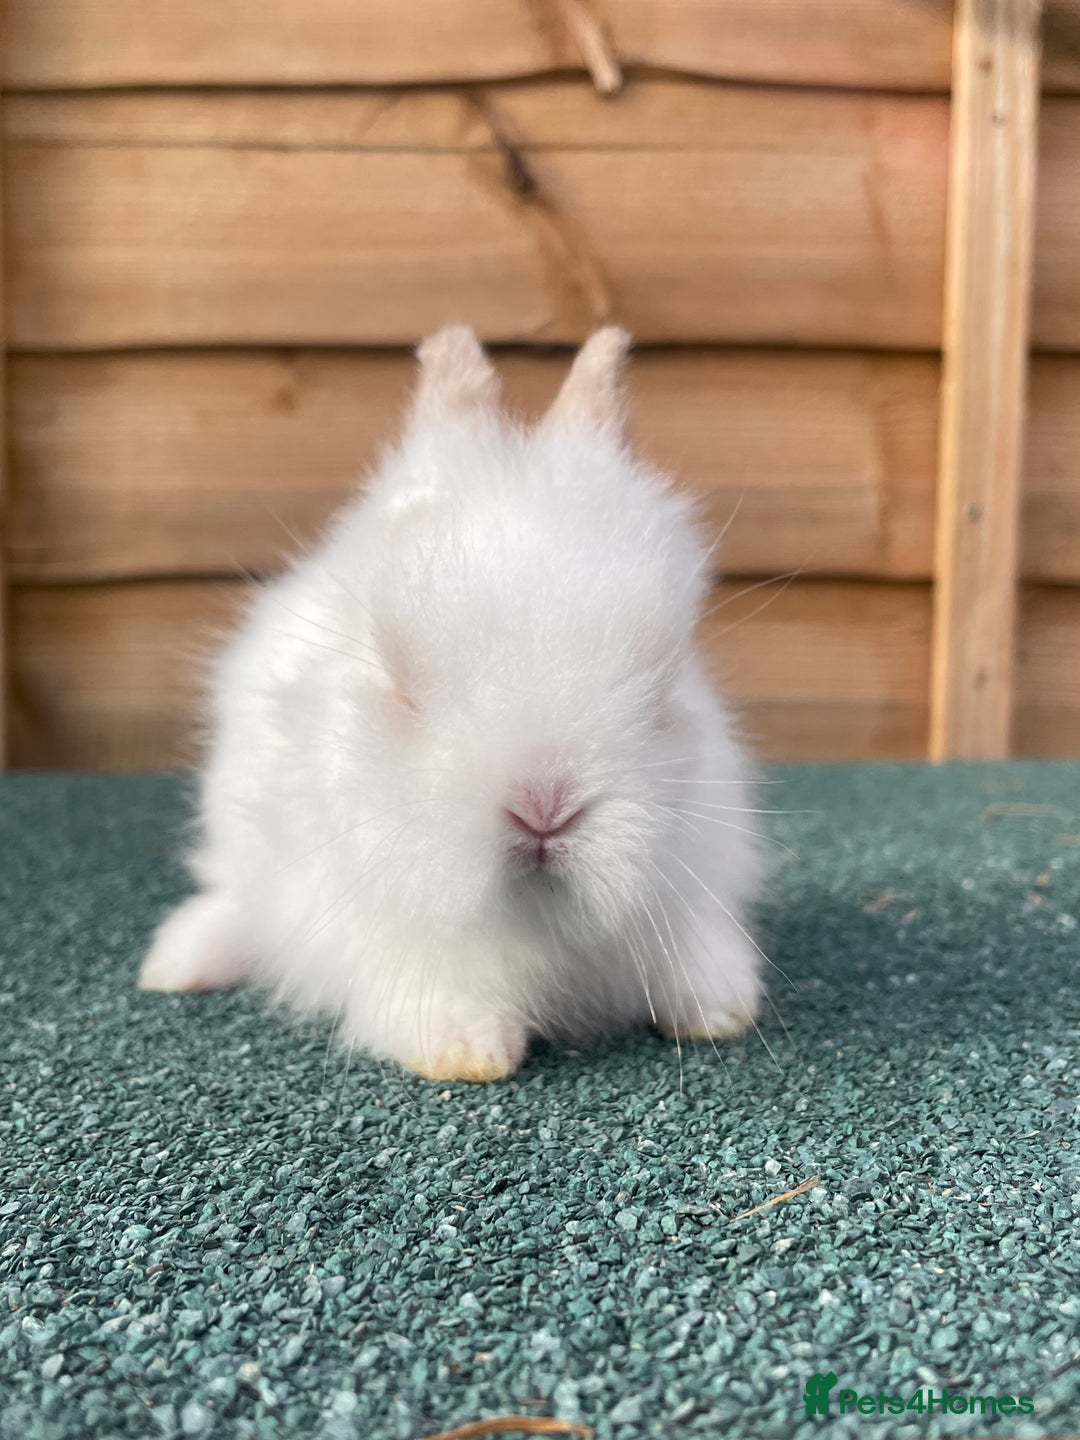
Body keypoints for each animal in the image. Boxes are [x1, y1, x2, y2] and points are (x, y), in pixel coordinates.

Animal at [139, 325, 765, 1081]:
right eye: (398, 681)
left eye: (665, 675)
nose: (544, 810)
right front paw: (468, 1051)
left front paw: (718, 1011)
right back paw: (177, 964)